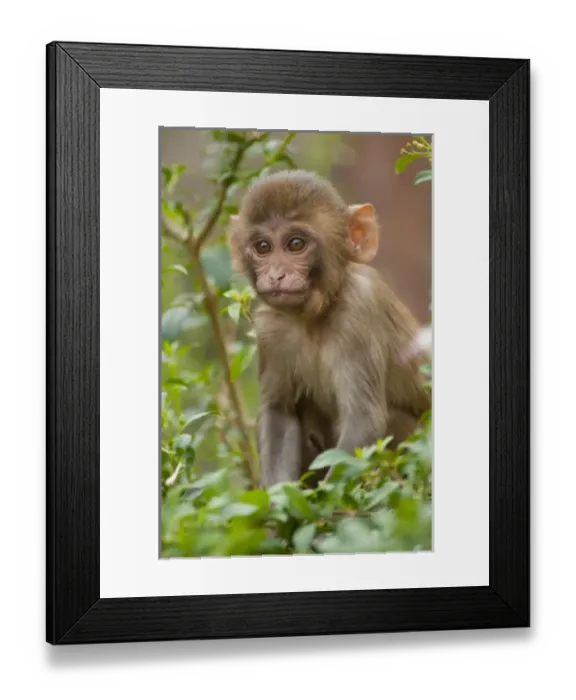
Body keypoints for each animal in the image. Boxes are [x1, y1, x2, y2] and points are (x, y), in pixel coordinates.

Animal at [228, 169, 431, 487]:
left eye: (295, 244)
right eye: (263, 247)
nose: (276, 275)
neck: (314, 317)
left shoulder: (359, 311)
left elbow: (363, 422)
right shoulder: (270, 329)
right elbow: (278, 413)